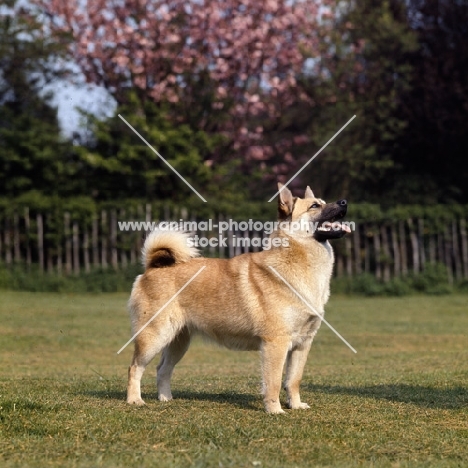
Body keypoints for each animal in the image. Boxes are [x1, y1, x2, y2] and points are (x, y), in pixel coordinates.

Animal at [126, 183, 350, 414]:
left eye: (323, 202)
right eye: (315, 206)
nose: (344, 202)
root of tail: (153, 267)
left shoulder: (302, 344)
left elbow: (293, 380)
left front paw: (295, 405)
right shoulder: (275, 343)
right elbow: (274, 382)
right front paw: (275, 410)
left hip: (178, 341)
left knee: (163, 369)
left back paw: (166, 398)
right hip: (154, 336)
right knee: (134, 368)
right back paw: (135, 400)